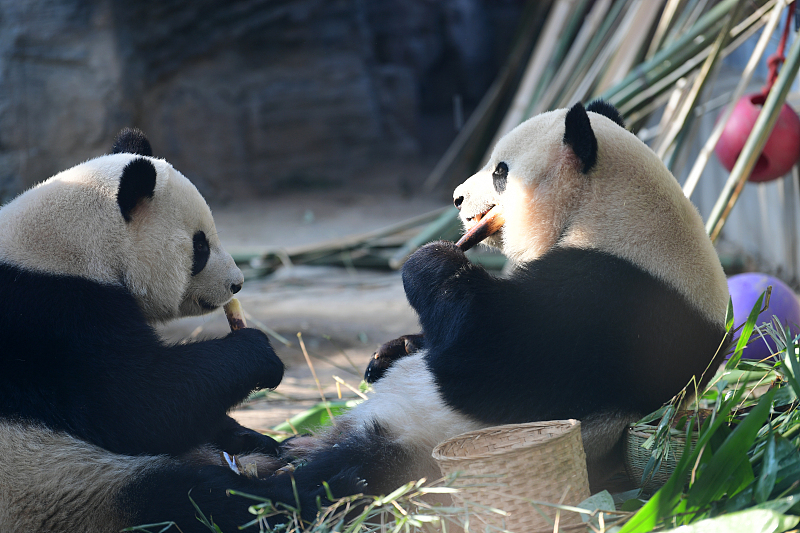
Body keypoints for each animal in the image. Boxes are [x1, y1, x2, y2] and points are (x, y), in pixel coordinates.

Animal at [0, 130, 318, 532]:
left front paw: (252, 437)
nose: (237, 283)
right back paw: (305, 489)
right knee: (191, 499)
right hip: (59, 487)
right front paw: (260, 355)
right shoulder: (49, 318)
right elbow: (137, 404)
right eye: (200, 245)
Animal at [270, 101, 732, 512]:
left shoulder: (614, 299)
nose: (457, 198)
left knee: (349, 468)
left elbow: (484, 359)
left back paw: (289, 485)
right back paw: (287, 450)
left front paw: (431, 259)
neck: (611, 211)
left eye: (500, 172)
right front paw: (390, 352)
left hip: (412, 443)